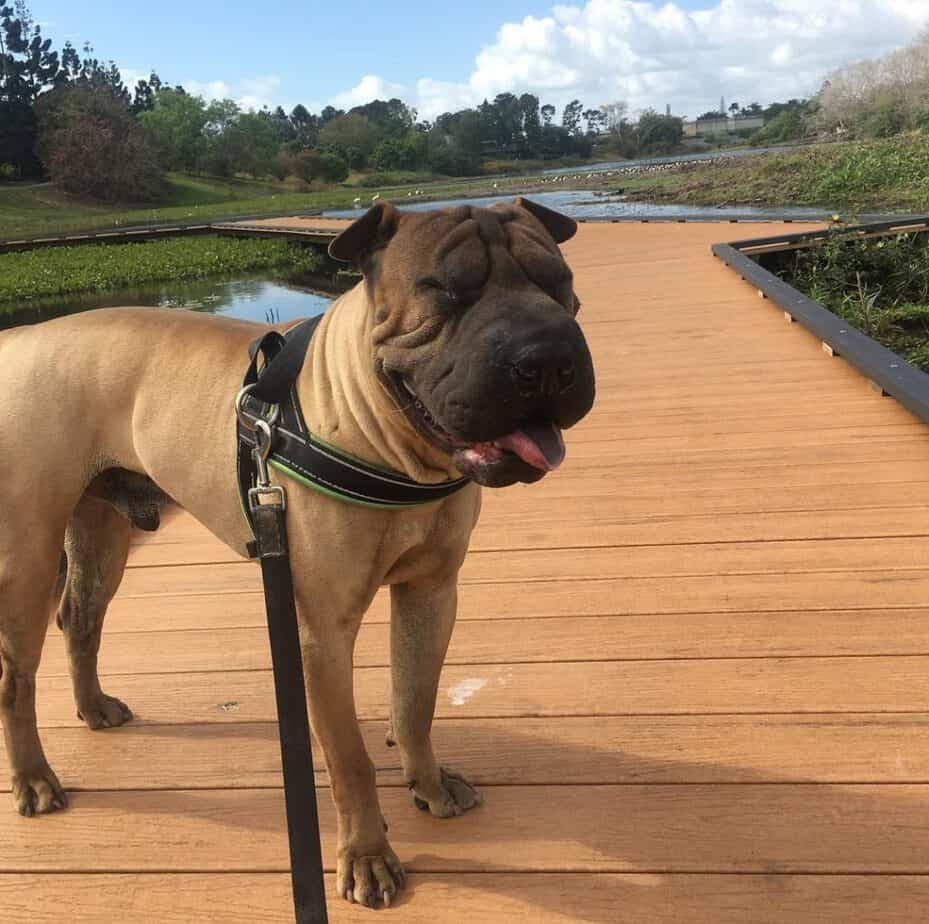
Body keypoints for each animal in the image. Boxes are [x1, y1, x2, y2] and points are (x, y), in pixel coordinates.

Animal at [0, 197, 596, 908]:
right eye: (445, 290)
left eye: (559, 281)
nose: (548, 356)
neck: (394, 445)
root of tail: (18, 338)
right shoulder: (319, 632)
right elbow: (348, 756)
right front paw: (367, 857)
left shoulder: (431, 591)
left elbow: (415, 702)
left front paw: (427, 784)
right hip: (28, 553)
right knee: (16, 677)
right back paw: (35, 779)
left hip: (101, 530)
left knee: (81, 619)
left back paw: (93, 708)